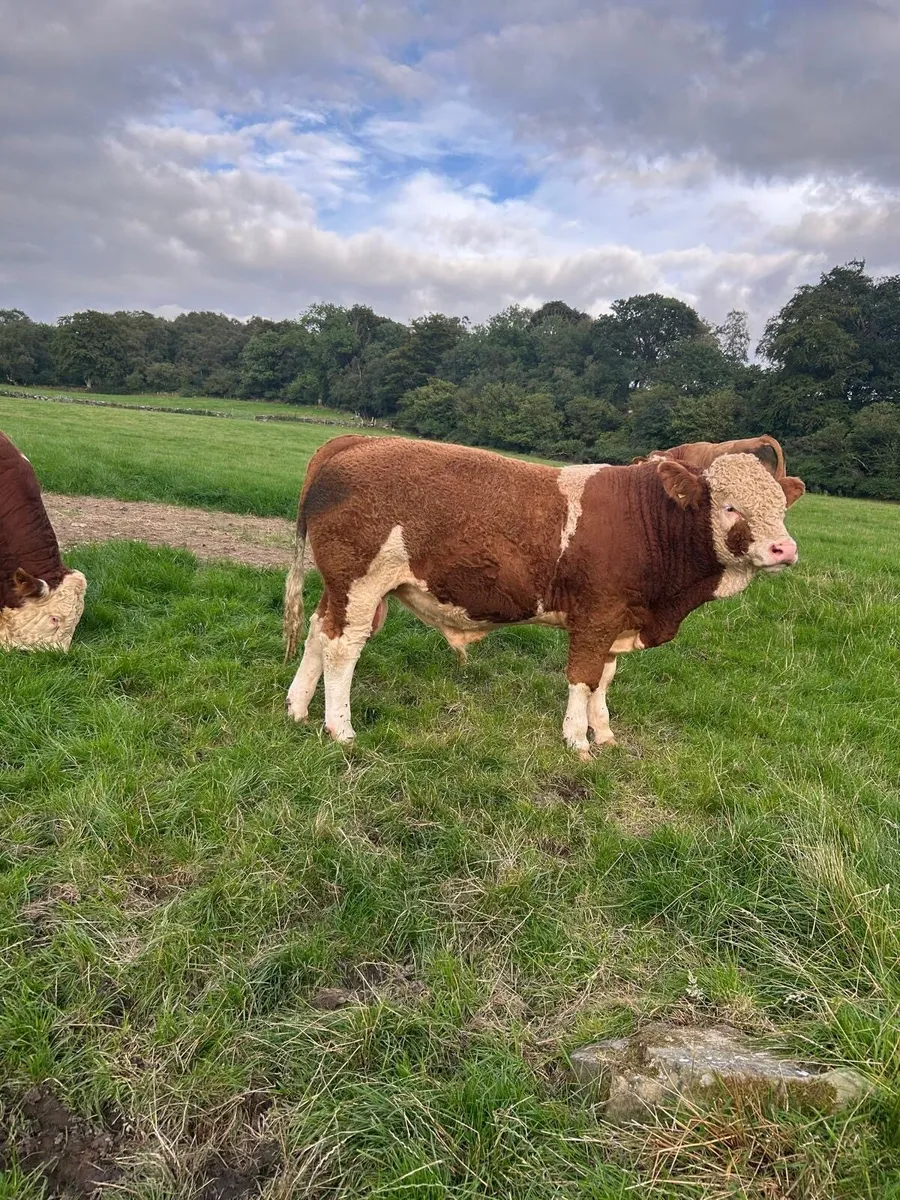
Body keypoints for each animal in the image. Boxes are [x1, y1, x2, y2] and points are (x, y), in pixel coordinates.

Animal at [282, 436, 804, 757]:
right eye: (730, 506)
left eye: (781, 506)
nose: (785, 548)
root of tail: (355, 441)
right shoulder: (596, 616)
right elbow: (582, 678)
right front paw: (578, 742)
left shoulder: (617, 621)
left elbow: (603, 681)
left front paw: (605, 734)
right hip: (361, 583)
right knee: (342, 646)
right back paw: (340, 728)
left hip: (341, 588)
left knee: (316, 632)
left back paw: (298, 710)